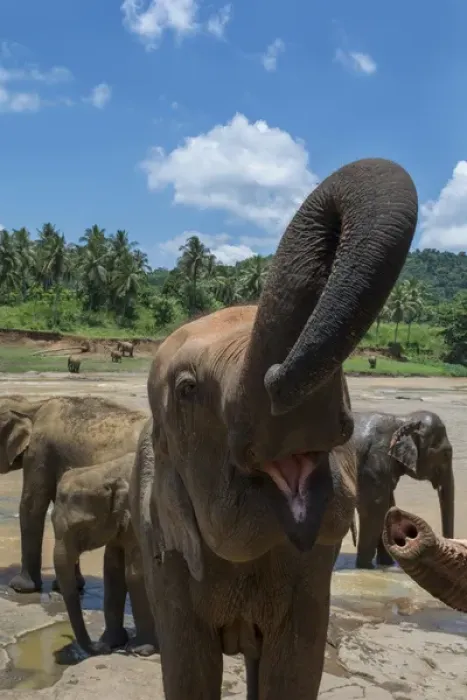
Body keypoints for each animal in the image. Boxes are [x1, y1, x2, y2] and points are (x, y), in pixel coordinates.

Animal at [52, 452, 157, 656]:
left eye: (81, 530)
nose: (102, 649)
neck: (107, 470)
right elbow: (112, 572)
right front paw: (111, 642)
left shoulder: (136, 519)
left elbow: (135, 575)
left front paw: (139, 650)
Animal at [129, 158, 418, 700]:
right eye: (187, 390)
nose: (277, 374)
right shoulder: (164, 547)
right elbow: (188, 669)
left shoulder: (312, 573)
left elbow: (295, 666)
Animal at [353, 410, 454, 569]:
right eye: (446, 454)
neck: (403, 419)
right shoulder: (373, 463)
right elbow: (374, 509)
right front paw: (366, 568)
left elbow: (388, 507)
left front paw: (386, 564)